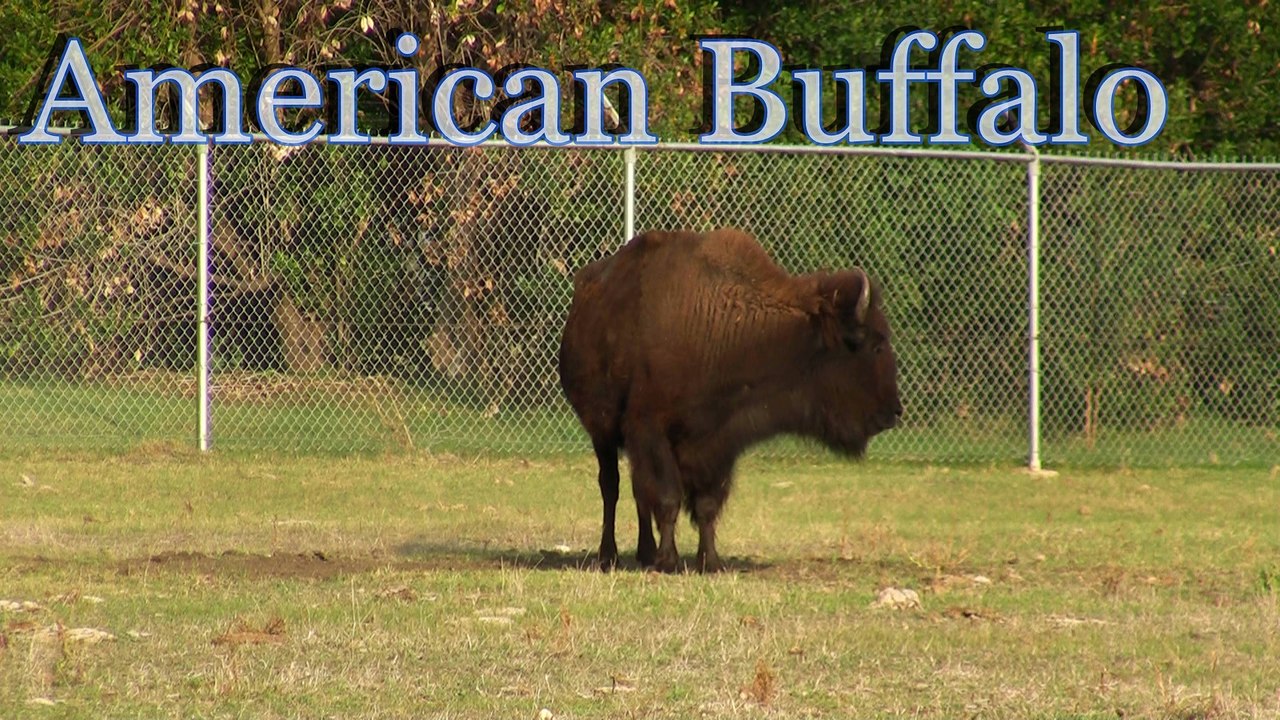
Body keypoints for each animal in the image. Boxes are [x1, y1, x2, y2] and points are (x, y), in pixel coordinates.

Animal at [557, 228, 902, 573]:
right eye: (876, 345)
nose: (894, 411)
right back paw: (609, 555)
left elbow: (706, 505)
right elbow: (667, 498)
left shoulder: (718, 443)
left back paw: (645, 552)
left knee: (637, 490)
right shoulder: (651, 430)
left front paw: (710, 561)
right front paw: (669, 560)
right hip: (601, 432)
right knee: (611, 486)